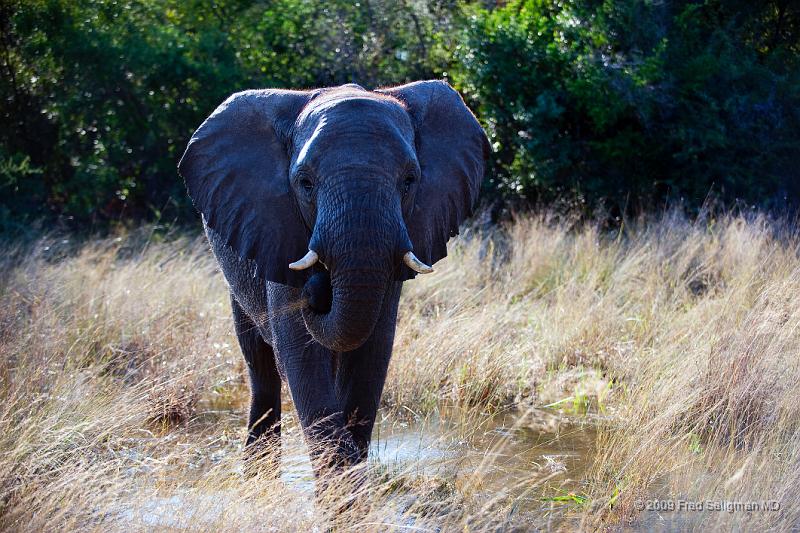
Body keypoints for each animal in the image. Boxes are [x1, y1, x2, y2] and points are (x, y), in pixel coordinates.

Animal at [179, 80, 490, 478]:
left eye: (410, 180)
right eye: (305, 183)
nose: (317, 288)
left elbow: (371, 355)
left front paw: (352, 490)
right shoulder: (278, 229)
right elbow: (301, 357)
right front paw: (341, 489)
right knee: (259, 364)